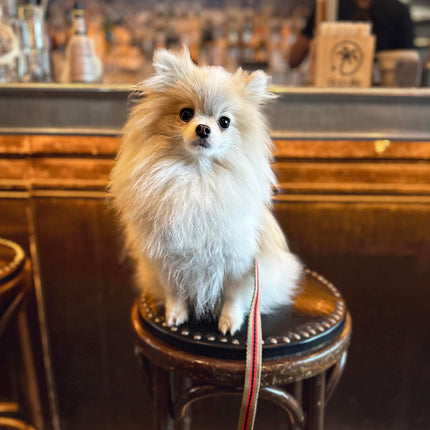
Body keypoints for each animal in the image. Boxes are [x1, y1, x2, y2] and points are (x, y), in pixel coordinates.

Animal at [109, 47, 302, 336]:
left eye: (225, 122)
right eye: (186, 114)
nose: (203, 128)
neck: (196, 176)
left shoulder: (239, 261)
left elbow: (234, 296)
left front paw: (230, 321)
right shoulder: (166, 258)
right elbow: (174, 292)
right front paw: (175, 314)